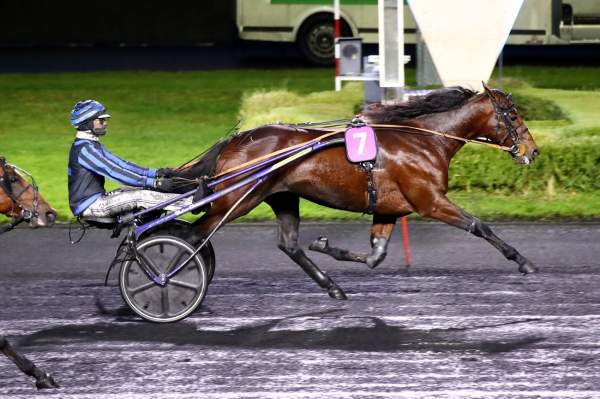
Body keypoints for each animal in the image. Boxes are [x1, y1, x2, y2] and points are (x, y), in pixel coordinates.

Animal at [173, 85, 540, 304]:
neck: (425, 140)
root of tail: (234, 141)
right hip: (236, 200)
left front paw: (325, 246)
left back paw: (332, 287)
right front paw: (524, 261)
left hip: (282, 196)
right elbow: (480, 226)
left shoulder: (389, 208)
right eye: (513, 114)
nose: (533, 151)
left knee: (288, 244)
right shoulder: (431, 201)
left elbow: (376, 255)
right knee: (193, 236)